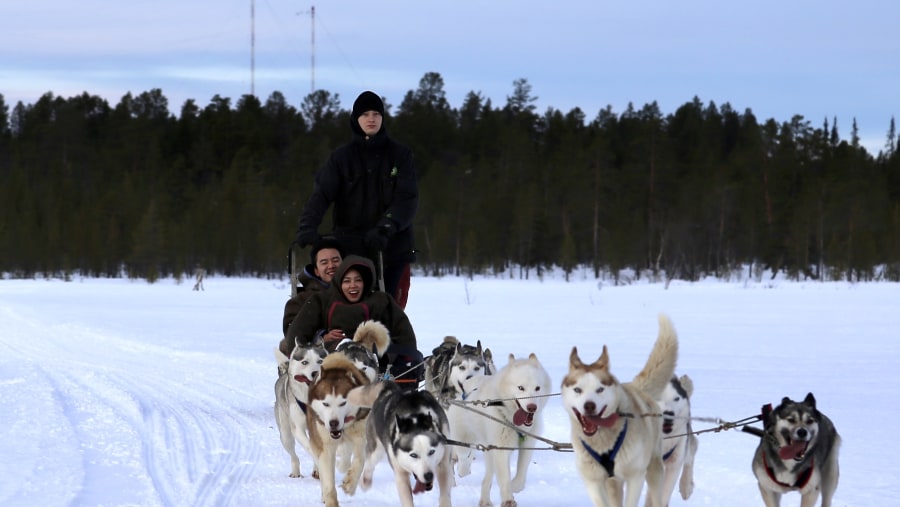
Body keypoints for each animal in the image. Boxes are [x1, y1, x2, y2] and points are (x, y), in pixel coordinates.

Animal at [276, 340, 332, 478]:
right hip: (285, 434)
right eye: (304, 362)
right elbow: (311, 448)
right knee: (293, 455)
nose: (315, 373)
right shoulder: (298, 429)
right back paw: (296, 472)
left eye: (320, 361)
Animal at [306, 354, 370, 507]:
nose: (333, 423)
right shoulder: (325, 446)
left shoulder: (360, 437)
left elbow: (359, 461)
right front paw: (330, 500)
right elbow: (328, 480)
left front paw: (350, 484)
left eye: (343, 403)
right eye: (326, 404)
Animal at [448, 354, 552, 507]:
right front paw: (508, 498)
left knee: (487, 475)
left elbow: (521, 474)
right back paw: (463, 470)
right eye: (521, 388)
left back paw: (485, 500)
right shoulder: (501, 448)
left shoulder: (527, 444)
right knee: (463, 454)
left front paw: (514, 486)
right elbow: (504, 477)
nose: (532, 407)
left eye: (537, 388)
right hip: (463, 435)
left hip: (489, 449)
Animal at [560, 314, 680, 507]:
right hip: (613, 483)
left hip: (654, 469)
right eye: (578, 390)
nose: (589, 405)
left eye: (600, 389)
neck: (603, 442)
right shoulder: (593, 482)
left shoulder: (635, 476)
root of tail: (635, 386)